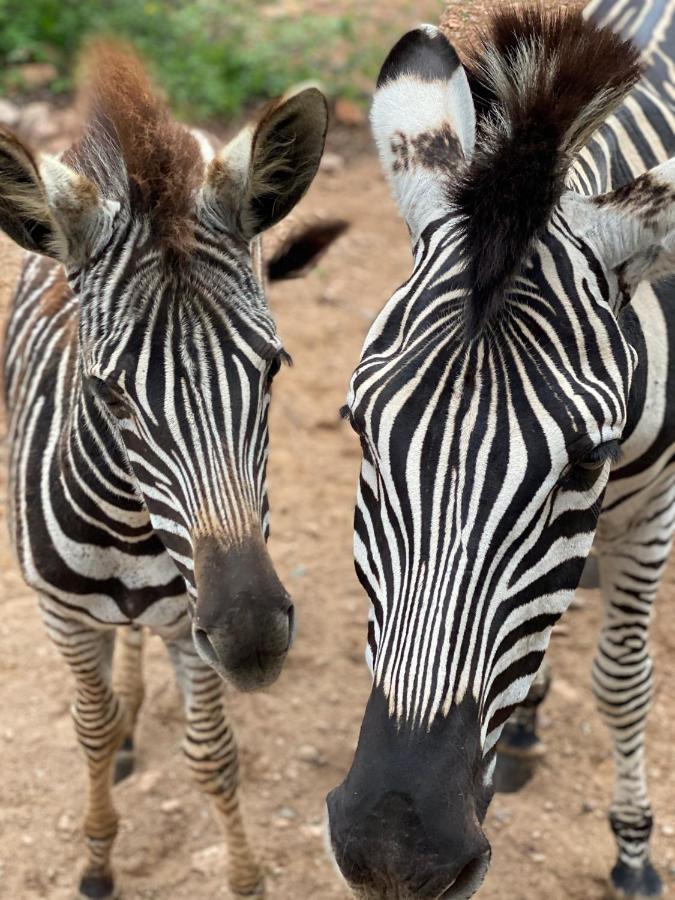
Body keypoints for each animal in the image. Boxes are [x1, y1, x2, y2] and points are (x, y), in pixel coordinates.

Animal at [0, 40, 344, 900]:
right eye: (107, 392)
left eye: (274, 368)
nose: (253, 638)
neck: (127, 531)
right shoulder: (61, 616)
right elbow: (89, 732)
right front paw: (96, 860)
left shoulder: (194, 626)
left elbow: (213, 758)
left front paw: (246, 877)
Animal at [328, 5, 675, 900]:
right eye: (359, 428)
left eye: (586, 460)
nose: (394, 851)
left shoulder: (651, 506)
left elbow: (623, 681)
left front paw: (632, 850)